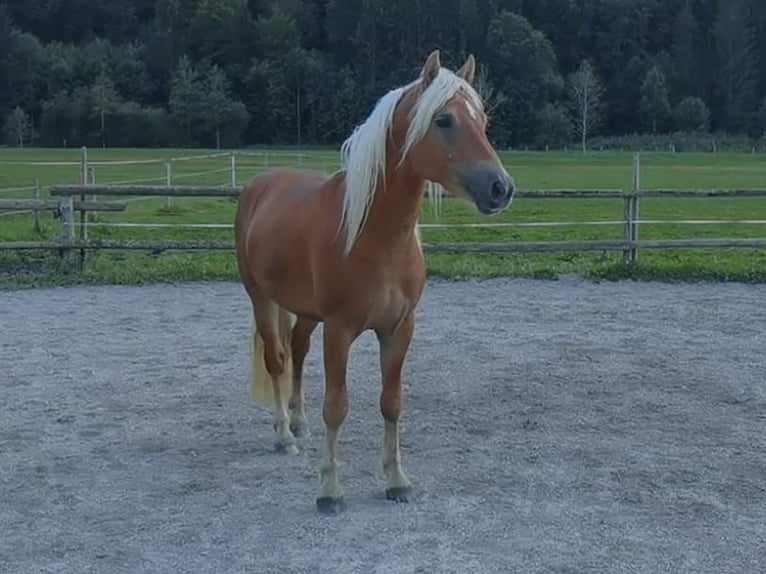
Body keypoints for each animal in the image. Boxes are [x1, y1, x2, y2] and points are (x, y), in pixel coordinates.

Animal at [231, 50, 516, 516]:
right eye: (443, 120)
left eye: (483, 120)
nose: (500, 188)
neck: (375, 236)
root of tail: (261, 183)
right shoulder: (339, 330)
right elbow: (336, 406)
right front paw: (330, 489)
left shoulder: (398, 329)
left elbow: (391, 402)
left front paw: (397, 480)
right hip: (260, 298)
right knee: (276, 359)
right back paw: (284, 435)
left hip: (304, 312)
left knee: (297, 352)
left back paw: (299, 422)